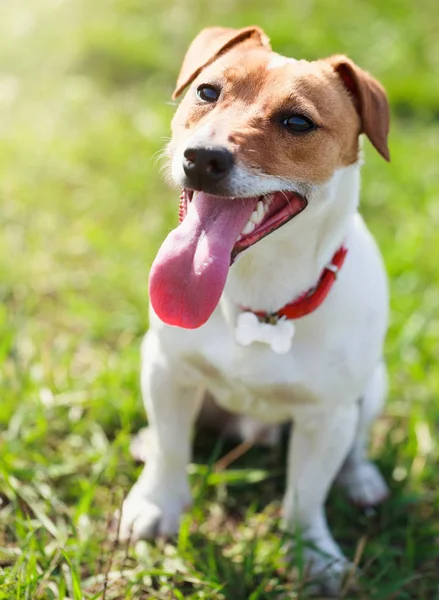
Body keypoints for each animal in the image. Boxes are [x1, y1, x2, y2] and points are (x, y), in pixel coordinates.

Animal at [118, 27, 390, 596]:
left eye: (298, 122)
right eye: (207, 92)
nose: (202, 158)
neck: (258, 299)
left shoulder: (326, 417)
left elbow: (306, 497)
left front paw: (313, 557)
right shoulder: (167, 369)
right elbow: (173, 448)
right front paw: (156, 504)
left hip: (374, 386)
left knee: (357, 444)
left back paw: (361, 478)